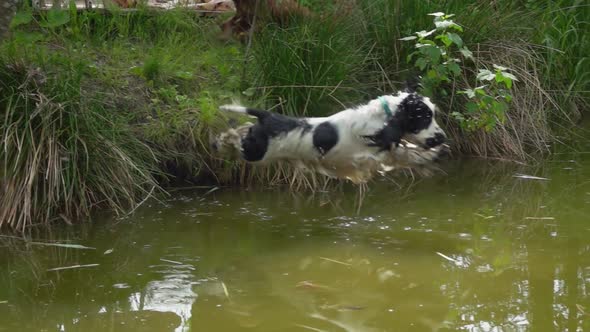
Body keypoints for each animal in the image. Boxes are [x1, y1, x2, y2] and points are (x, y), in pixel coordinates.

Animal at [214, 91, 448, 183]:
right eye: (424, 118)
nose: (442, 137)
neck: (384, 117)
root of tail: (268, 116)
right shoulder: (365, 156)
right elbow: (401, 152)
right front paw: (431, 155)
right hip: (256, 152)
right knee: (237, 139)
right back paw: (221, 141)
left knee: (244, 128)